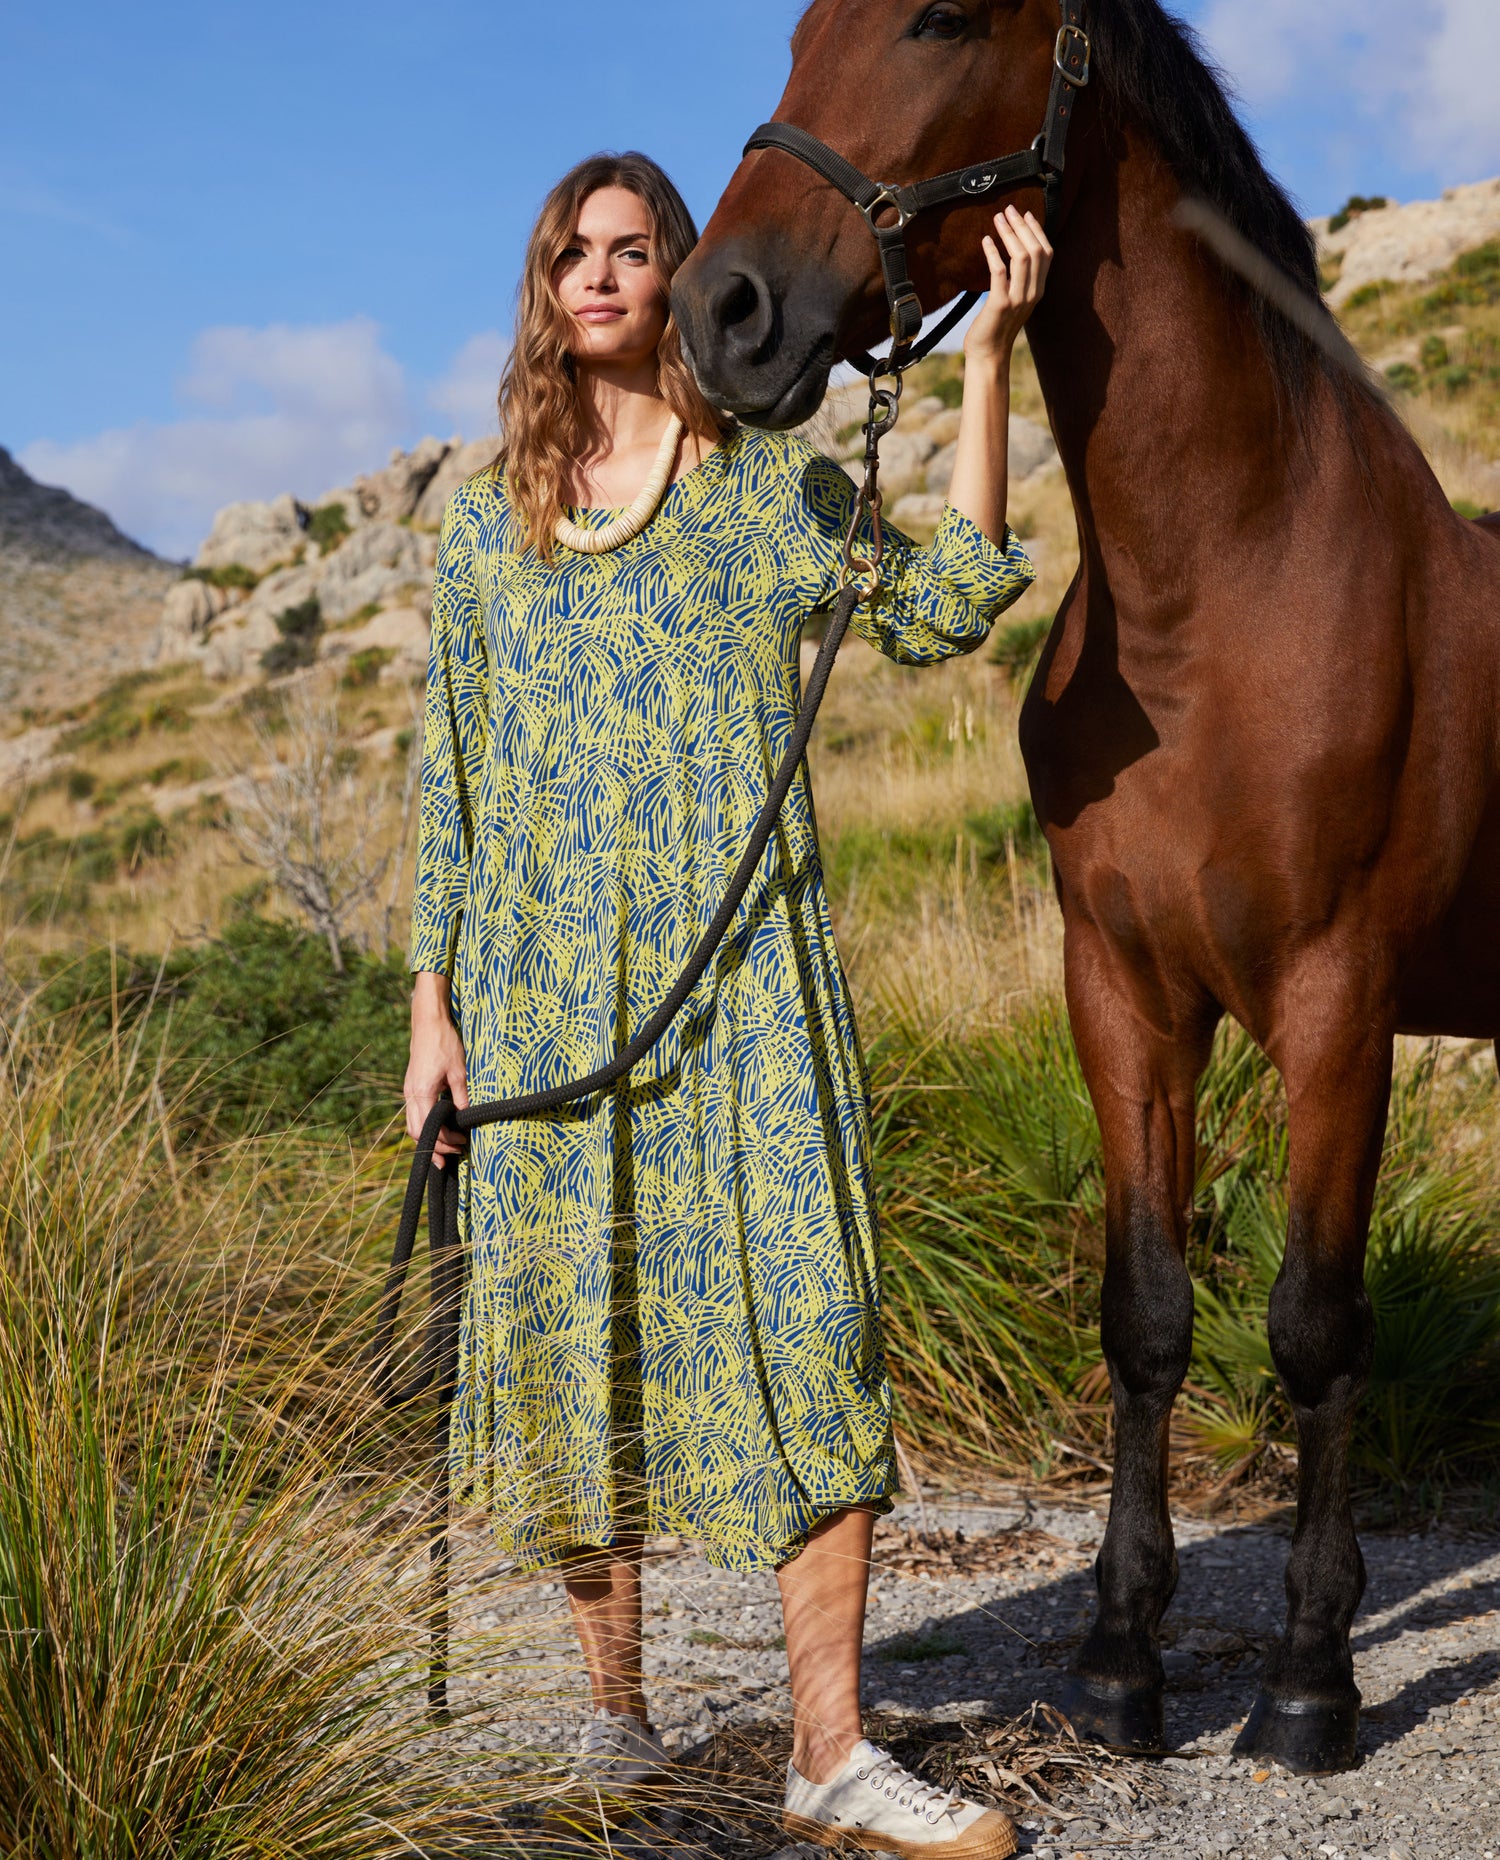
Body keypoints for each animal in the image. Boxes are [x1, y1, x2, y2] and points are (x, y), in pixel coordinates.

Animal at [677, 0, 1500, 1778]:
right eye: (794, 30)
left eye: (939, 19)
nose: (724, 313)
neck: (1227, 594)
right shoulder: (1124, 992)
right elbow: (1145, 1315)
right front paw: (1123, 1660)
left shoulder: (1340, 1003)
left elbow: (1315, 1327)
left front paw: (1310, 1682)